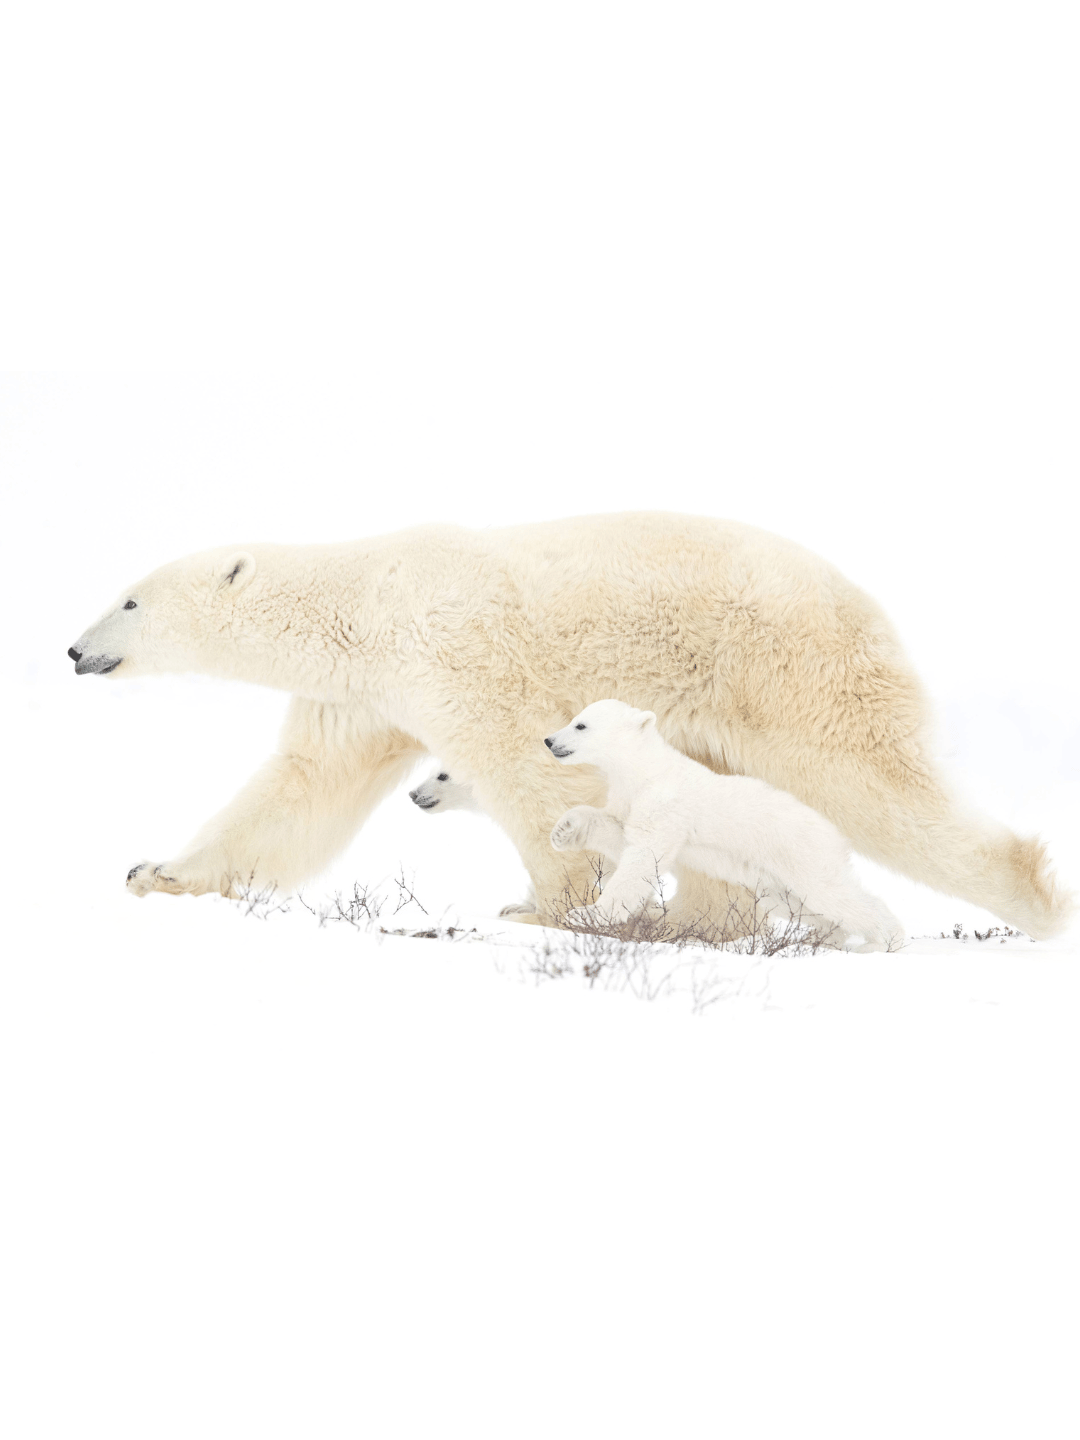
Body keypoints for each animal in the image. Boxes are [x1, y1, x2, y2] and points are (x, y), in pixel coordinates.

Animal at [546, 699, 905, 951]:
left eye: (580, 725)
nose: (549, 740)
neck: (645, 770)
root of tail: (837, 836)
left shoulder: (664, 803)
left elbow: (642, 859)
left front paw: (585, 914)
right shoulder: (630, 799)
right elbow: (618, 832)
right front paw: (564, 830)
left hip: (802, 855)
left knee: (834, 896)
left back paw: (883, 942)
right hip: (772, 878)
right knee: (801, 905)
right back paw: (821, 939)